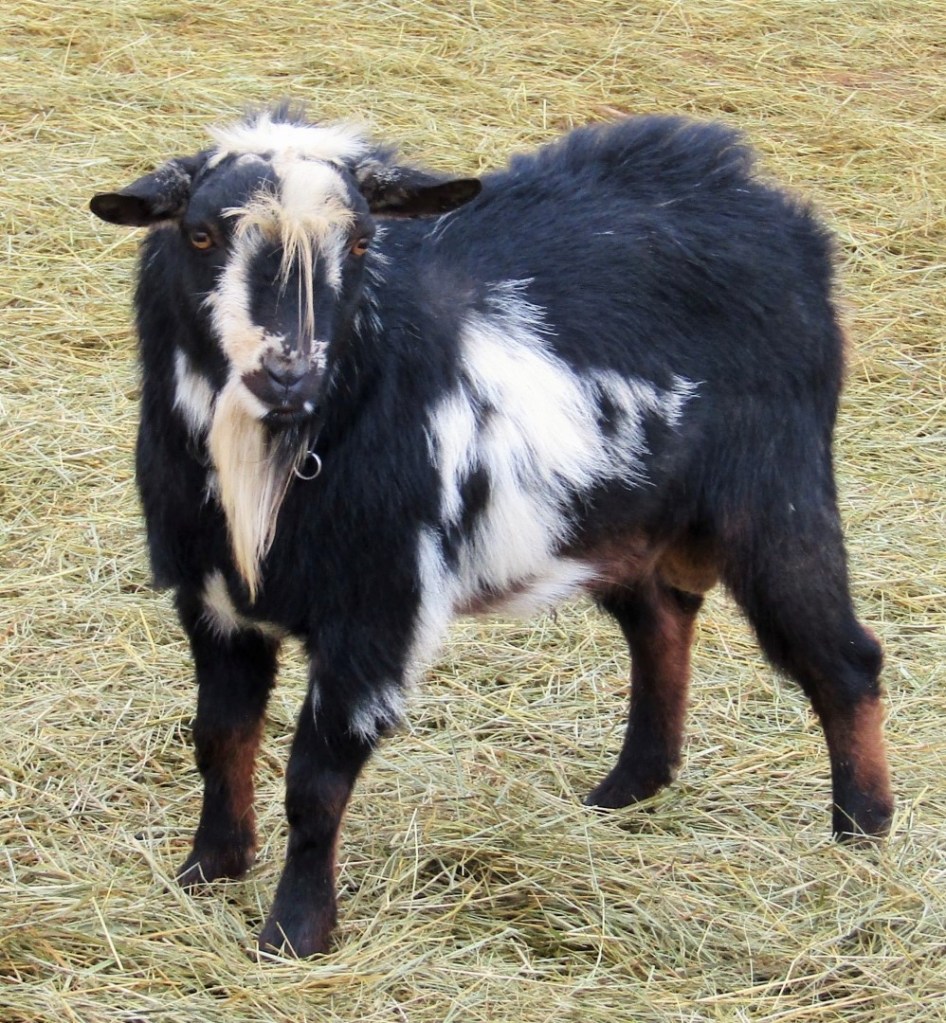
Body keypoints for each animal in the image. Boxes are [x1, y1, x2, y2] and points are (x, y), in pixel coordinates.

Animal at [89, 105, 892, 957]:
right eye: (201, 235)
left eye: (363, 241)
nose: (288, 374)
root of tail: (781, 219)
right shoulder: (211, 600)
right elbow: (219, 738)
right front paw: (207, 870)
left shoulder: (377, 609)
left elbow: (316, 781)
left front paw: (295, 931)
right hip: (624, 524)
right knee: (661, 627)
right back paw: (627, 790)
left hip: (777, 493)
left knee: (845, 658)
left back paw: (861, 832)